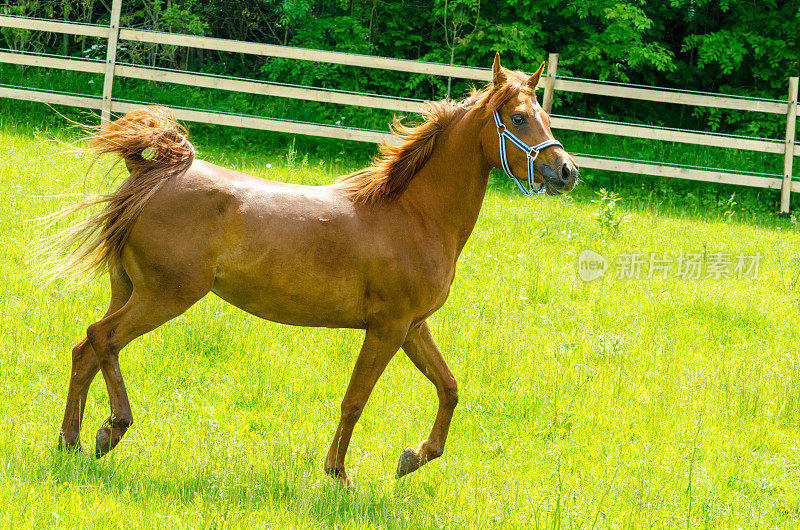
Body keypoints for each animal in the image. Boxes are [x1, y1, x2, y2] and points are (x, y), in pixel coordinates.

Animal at [51, 52, 576, 482]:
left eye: (546, 116)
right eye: (518, 118)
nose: (566, 172)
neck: (413, 214)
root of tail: (149, 171)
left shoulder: (413, 326)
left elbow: (449, 388)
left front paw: (413, 457)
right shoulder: (387, 328)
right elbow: (355, 400)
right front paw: (339, 474)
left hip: (129, 289)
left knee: (85, 350)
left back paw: (71, 441)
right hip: (165, 295)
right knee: (103, 339)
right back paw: (111, 430)